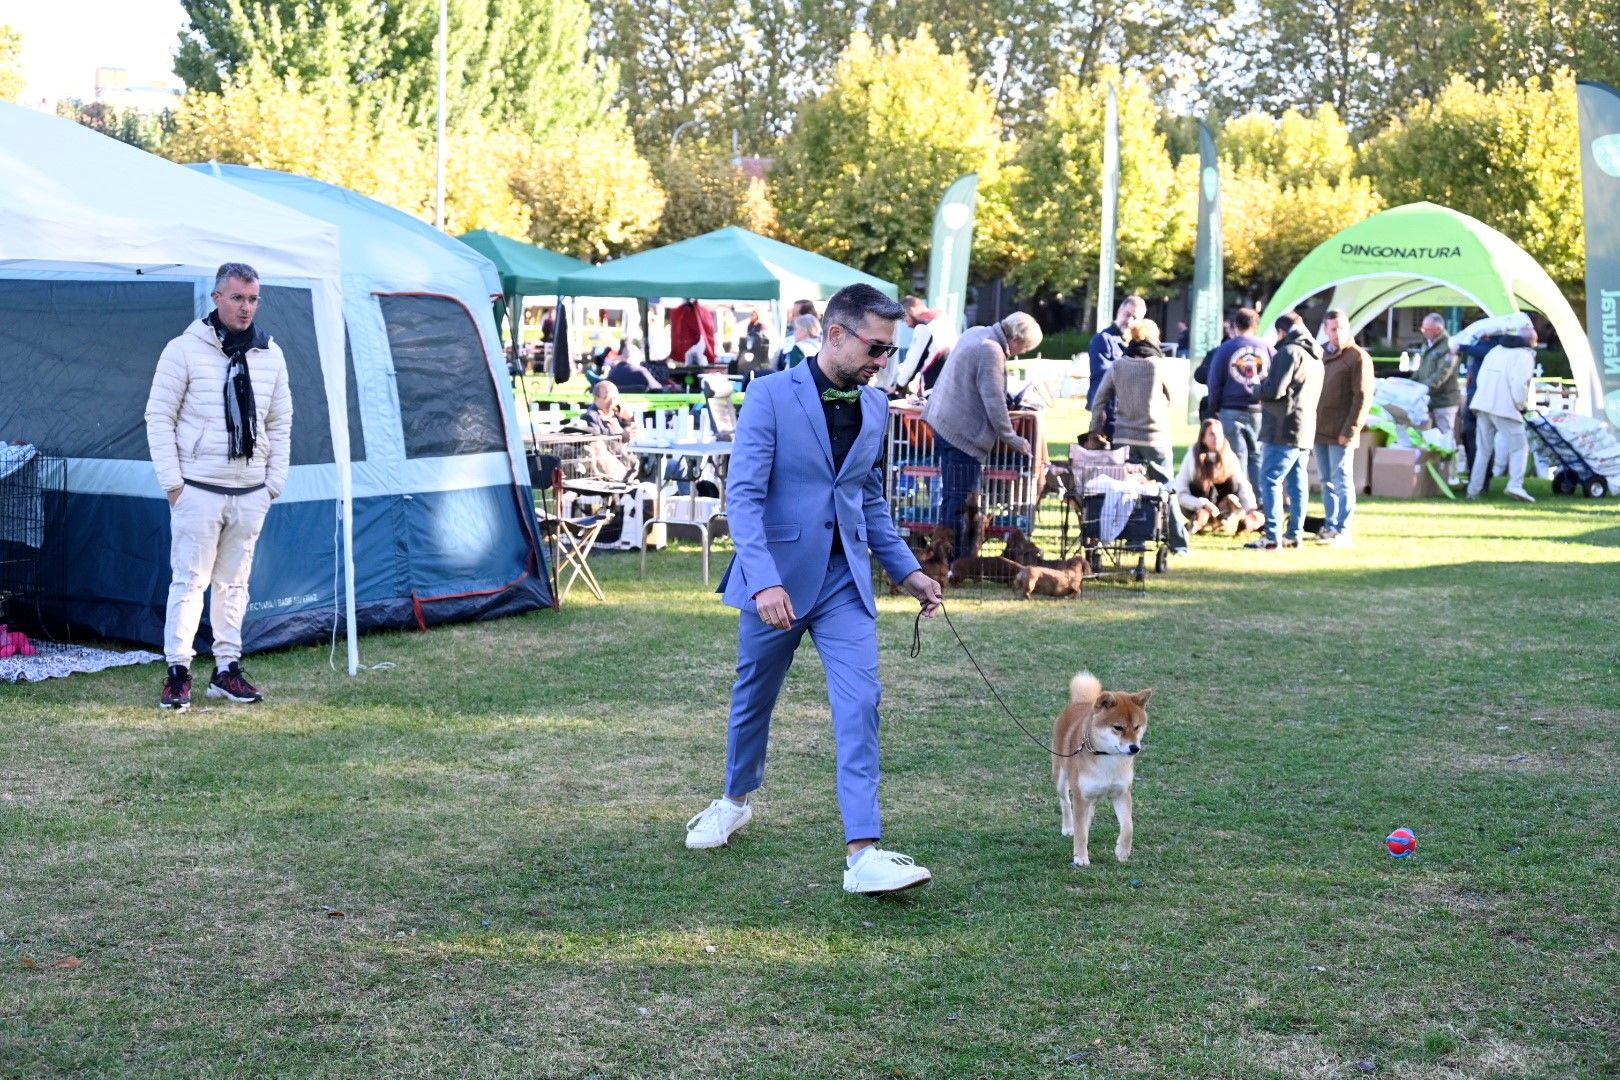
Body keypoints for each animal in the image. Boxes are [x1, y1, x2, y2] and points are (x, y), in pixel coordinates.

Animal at [1049, 670, 1153, 867]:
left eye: (1137, 727)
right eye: (1118, 727)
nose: (1135, 748)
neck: (1108, 758)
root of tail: (1079, 703)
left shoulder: (1122, 793)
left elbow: (1128, 827)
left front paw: (1122, 852)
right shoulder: (1080, 796)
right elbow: (1080, 833)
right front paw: (1080, 857)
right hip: (1061, 777)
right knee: (1065, 802)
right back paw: (1068, 826)